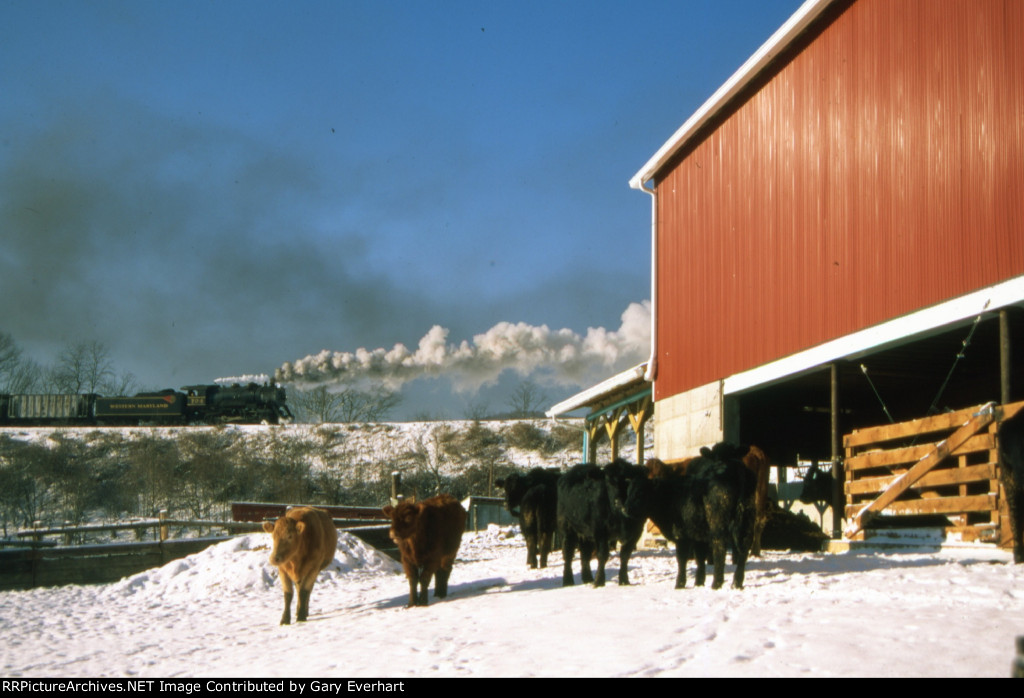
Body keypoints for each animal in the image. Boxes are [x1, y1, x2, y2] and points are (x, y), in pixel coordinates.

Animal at [630, 440, 761, 585]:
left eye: (640, 493)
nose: (627, 508)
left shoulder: (681, 534)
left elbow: (682, 559)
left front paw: (680, 583)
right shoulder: (698, 535)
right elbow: (699, 558)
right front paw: (699, 582)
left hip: (718, 521)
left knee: (719, 545)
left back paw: (717, 583)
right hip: (746, 516)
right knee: (744, 544)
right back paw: (737, 582)